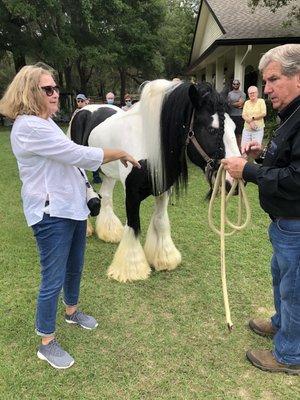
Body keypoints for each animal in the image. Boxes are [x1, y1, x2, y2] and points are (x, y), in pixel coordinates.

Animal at [69, 79, 240, 282]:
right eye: (212, 130)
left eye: (234, 128)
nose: (234, 181)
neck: (149, 144)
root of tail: (85, 109)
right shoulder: (132, 194)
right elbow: (133, 225)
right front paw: (131, 269)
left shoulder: (163, 190)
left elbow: (161, 221)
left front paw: (165, 258)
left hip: (109, 173)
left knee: (106, 195)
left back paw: (110, 232)